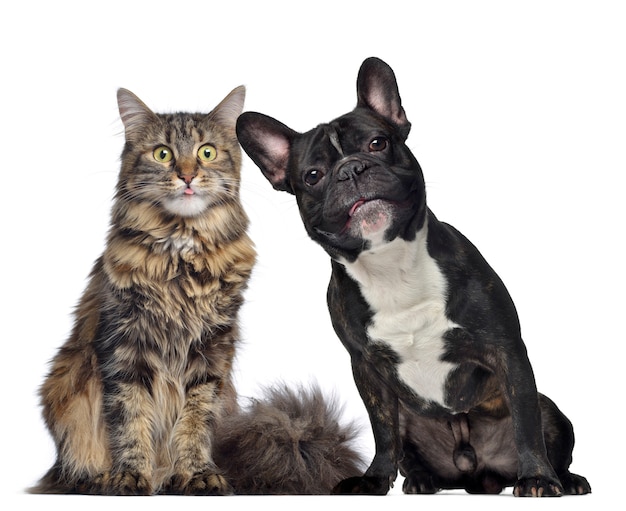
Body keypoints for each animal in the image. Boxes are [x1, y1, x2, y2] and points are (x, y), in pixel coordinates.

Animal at [30, 86, 360, 494]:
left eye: (206, 152)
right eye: (163, 153)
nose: (187, 175)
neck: (181, 253)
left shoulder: (212, 351)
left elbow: (194, 421)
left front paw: (196, 474)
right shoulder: (124, 346)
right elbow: (130, 419)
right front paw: (130, 475)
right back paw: (100, 477)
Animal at [234, 58, 588, 498]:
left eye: (378, 143)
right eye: (313, 175)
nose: (351, 169)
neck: (390, 263)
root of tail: (475, 476)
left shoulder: (507, 351)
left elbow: (526, 424)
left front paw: (537, 477)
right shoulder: (366, 369)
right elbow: (383, 431)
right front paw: (374, 478)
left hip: (549, 408)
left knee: (544, 426)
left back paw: (566, 479)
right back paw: (420, 479)